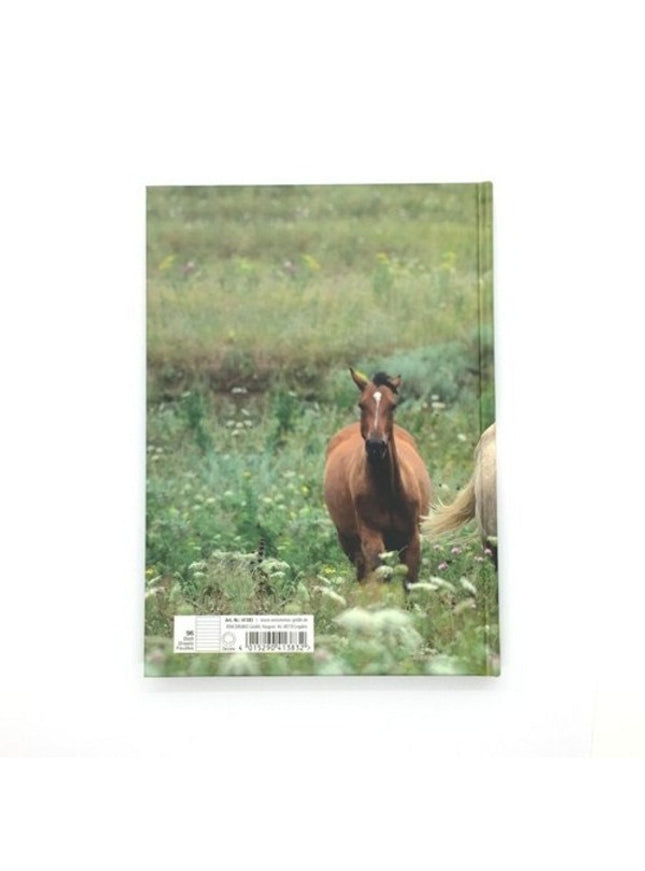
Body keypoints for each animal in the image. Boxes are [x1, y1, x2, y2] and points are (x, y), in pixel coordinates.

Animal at [323, 369, 433, 586]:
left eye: (393, 405)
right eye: (361, 404)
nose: (375, 445)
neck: (388, 491)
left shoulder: (412, 539)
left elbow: (410, 581)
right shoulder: (371, 538)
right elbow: (382, 576)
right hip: (349, 542)